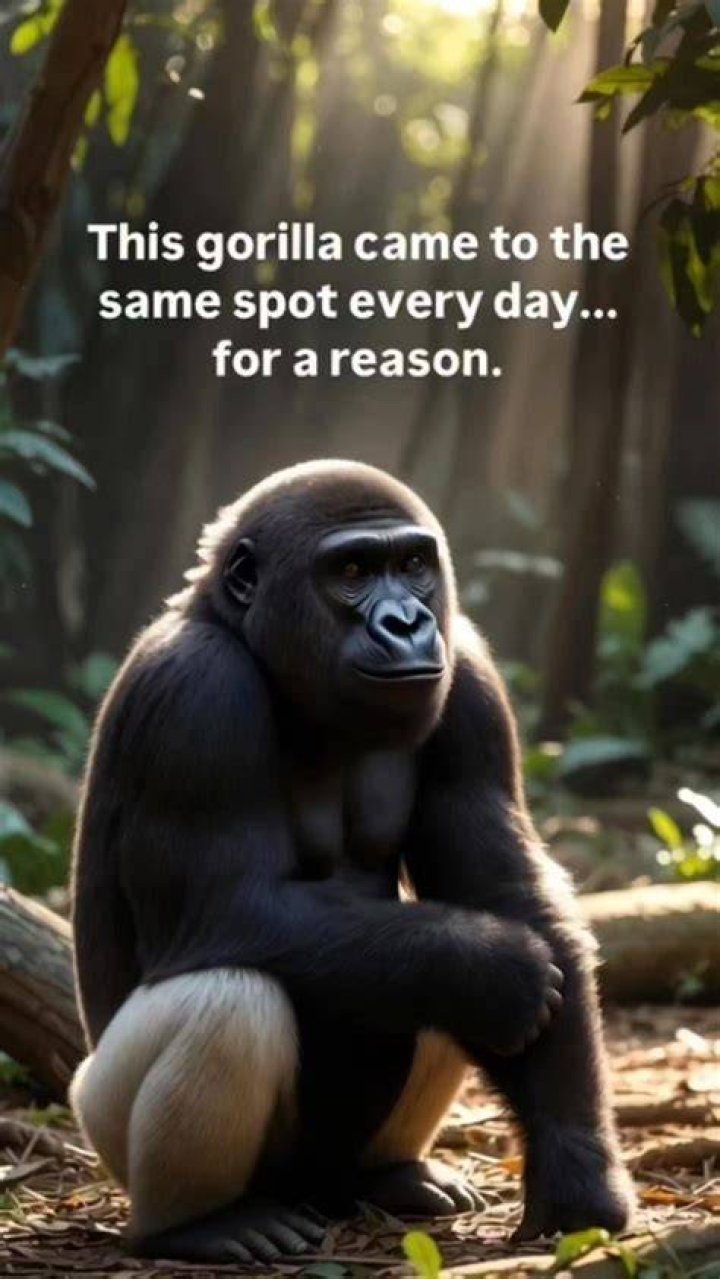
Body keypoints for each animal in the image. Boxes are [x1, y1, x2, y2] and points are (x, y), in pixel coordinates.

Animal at [69, 460, 634, 1264]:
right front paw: (489, 964)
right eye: (354, 572)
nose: (406, 622)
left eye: (413, 565)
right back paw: (198, 1223)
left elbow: (507, 892)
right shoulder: (193, 692)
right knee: (231, 999)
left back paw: (388, 1173)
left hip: (329, 1172)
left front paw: (575, 1171)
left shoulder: (469, 675)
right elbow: (227, 905)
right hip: (103, 1125)